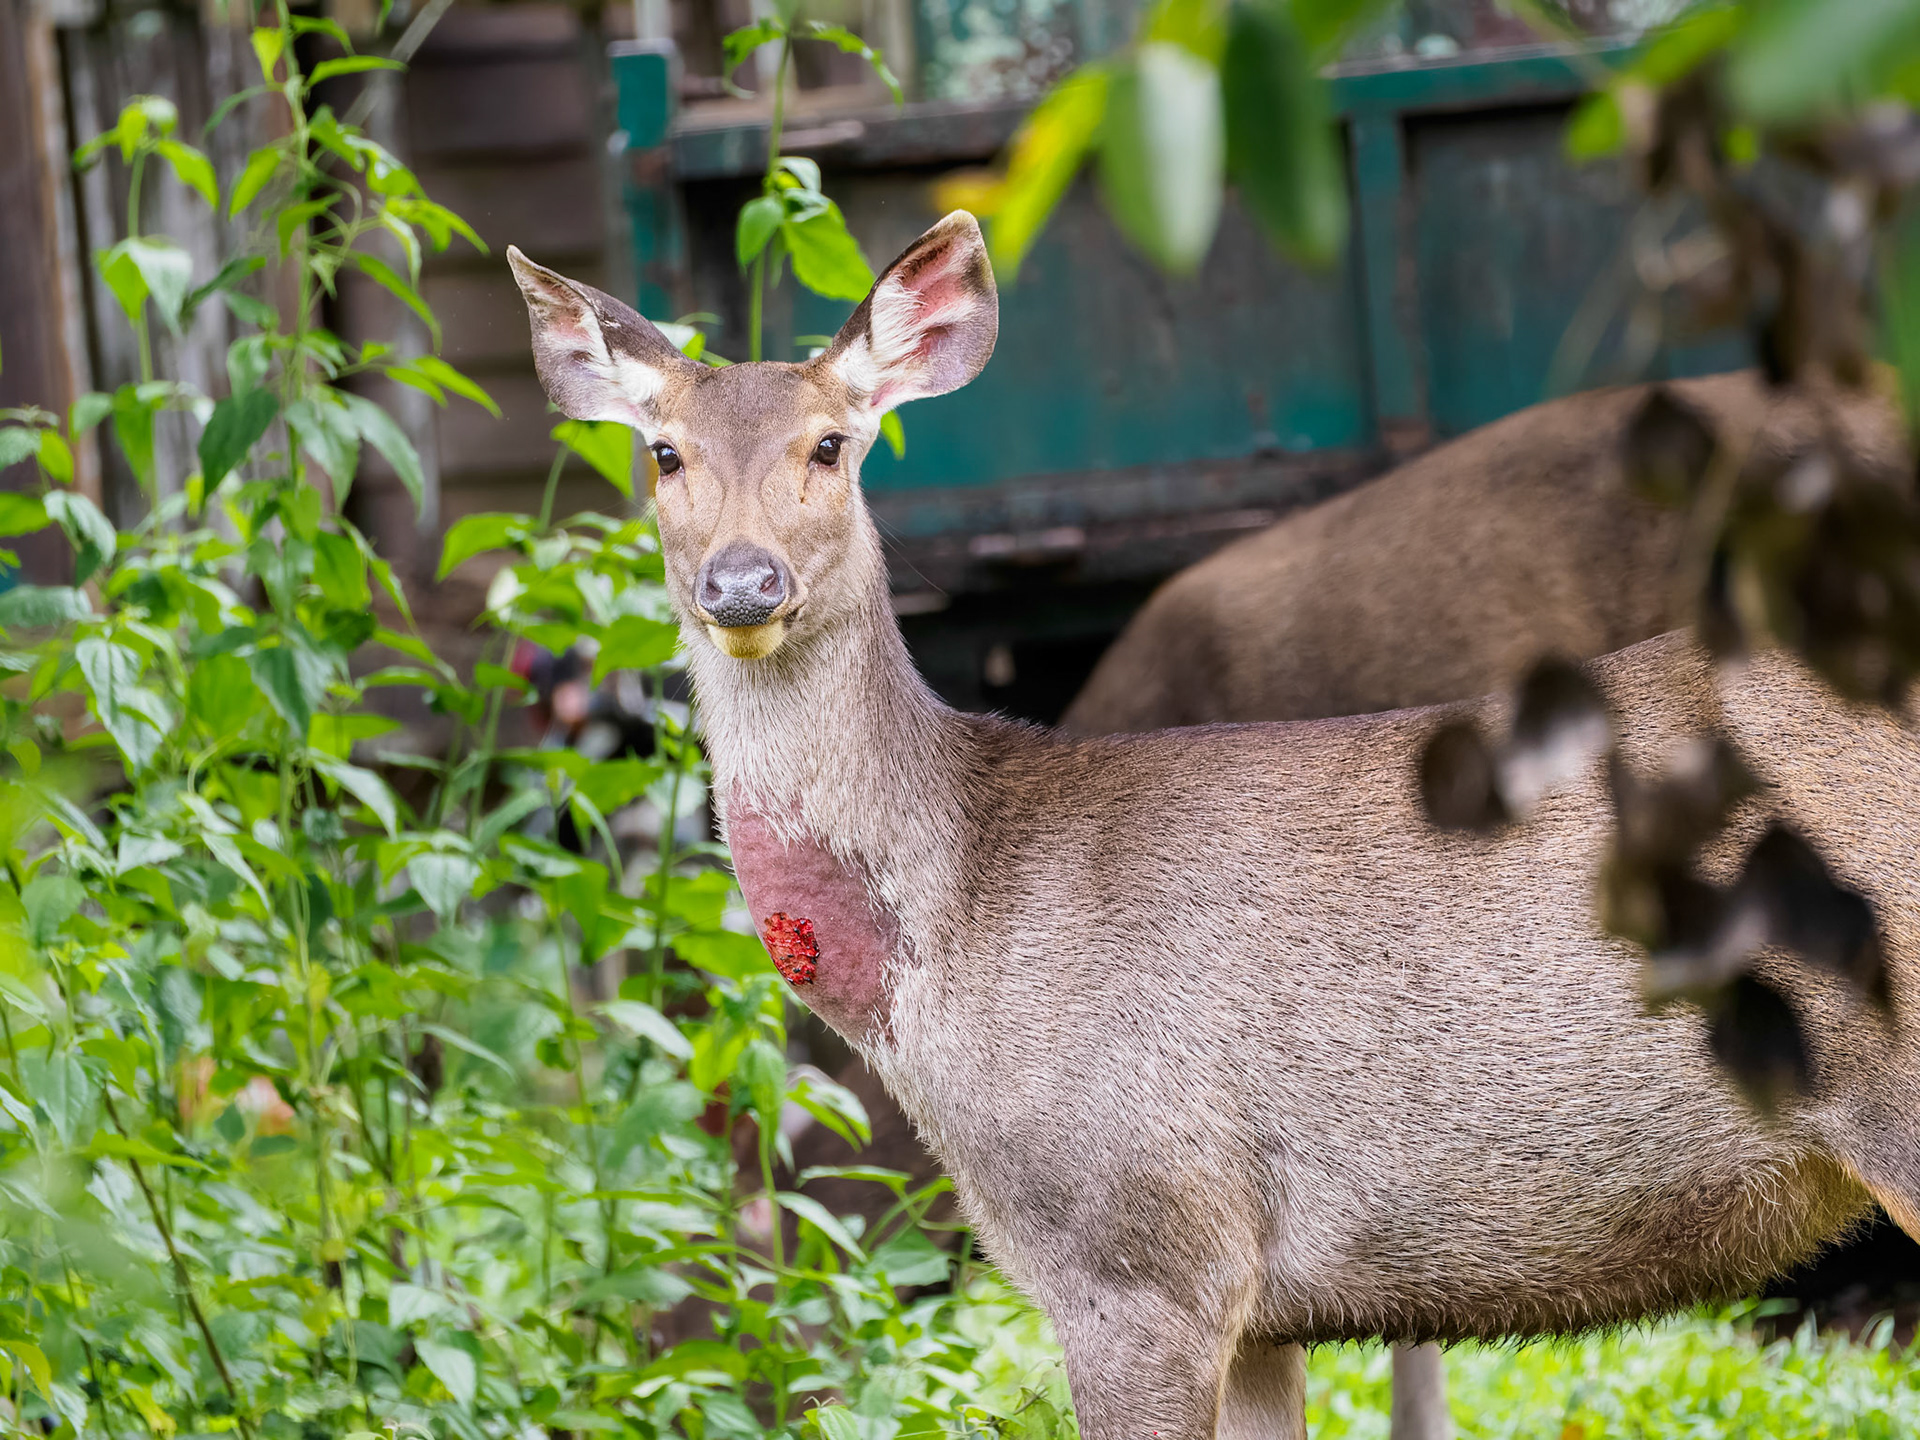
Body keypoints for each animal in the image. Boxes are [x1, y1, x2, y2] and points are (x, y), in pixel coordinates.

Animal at [508, 213, 1920, 1440]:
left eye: (832, 445)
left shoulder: (1138, 1249)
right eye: (663, 454)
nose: (743, 581)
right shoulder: (1256, 1312)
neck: (957, 932)